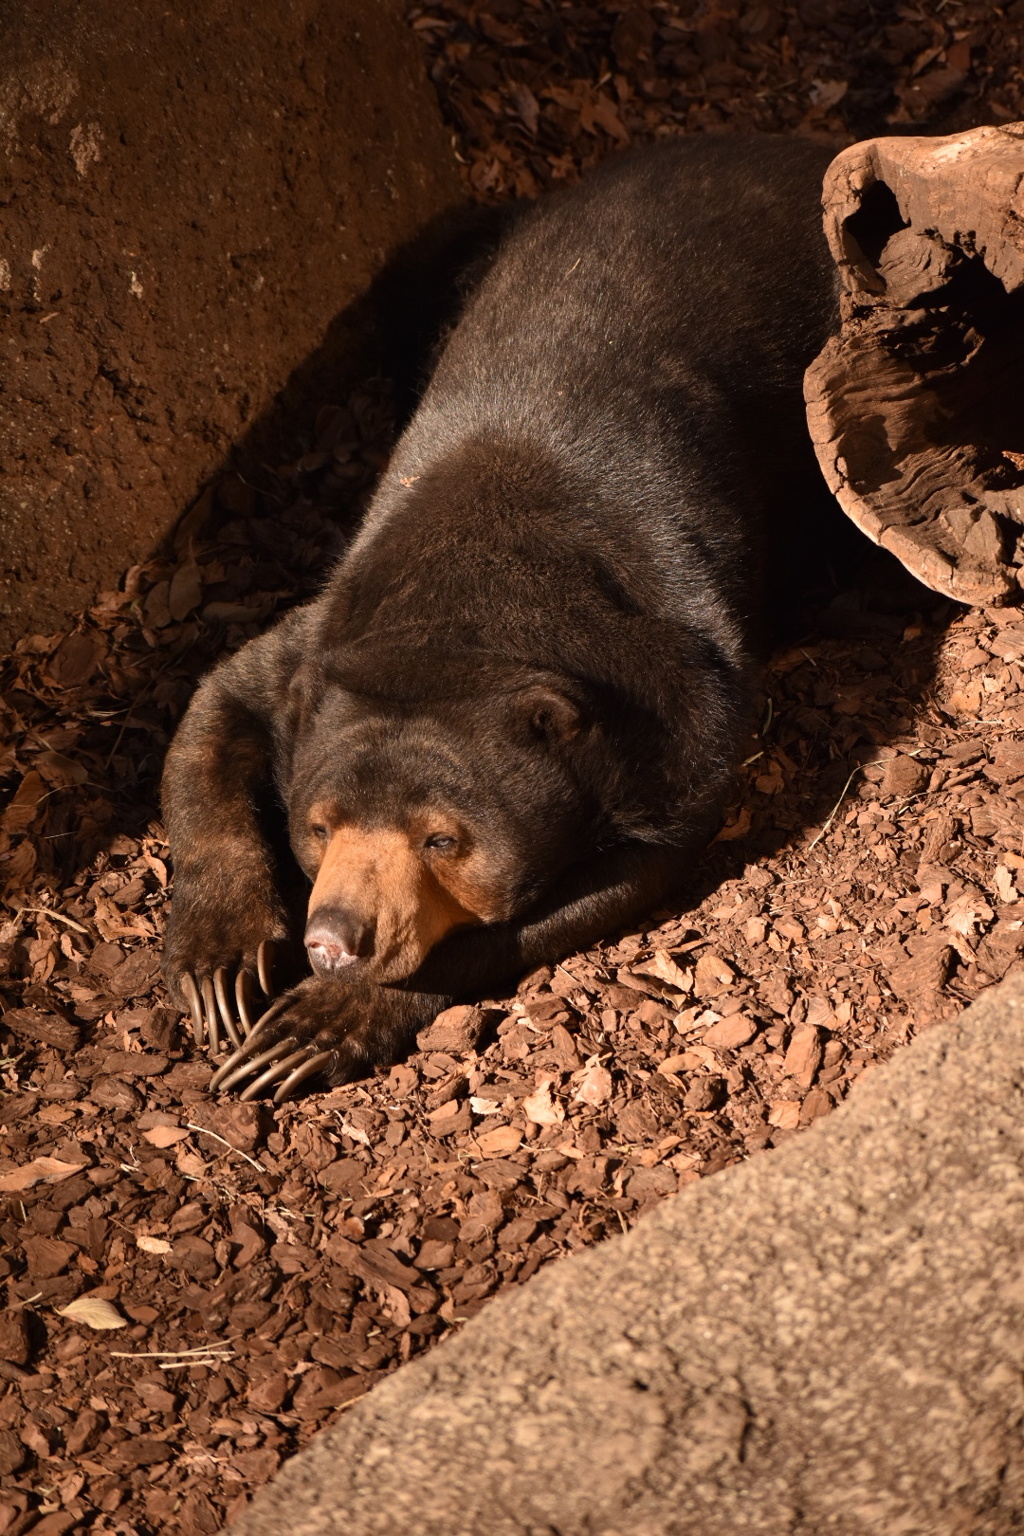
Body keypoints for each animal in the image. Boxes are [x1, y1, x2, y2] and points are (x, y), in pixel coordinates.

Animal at [161, 132, 841, 1099]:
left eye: (445, 839)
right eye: (318, 826)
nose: (333, 940)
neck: (472, 614)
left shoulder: (683, 723)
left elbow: (588, 889)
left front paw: (308, 1029)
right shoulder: (326, 632)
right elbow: (220, 701)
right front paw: (223, 971)